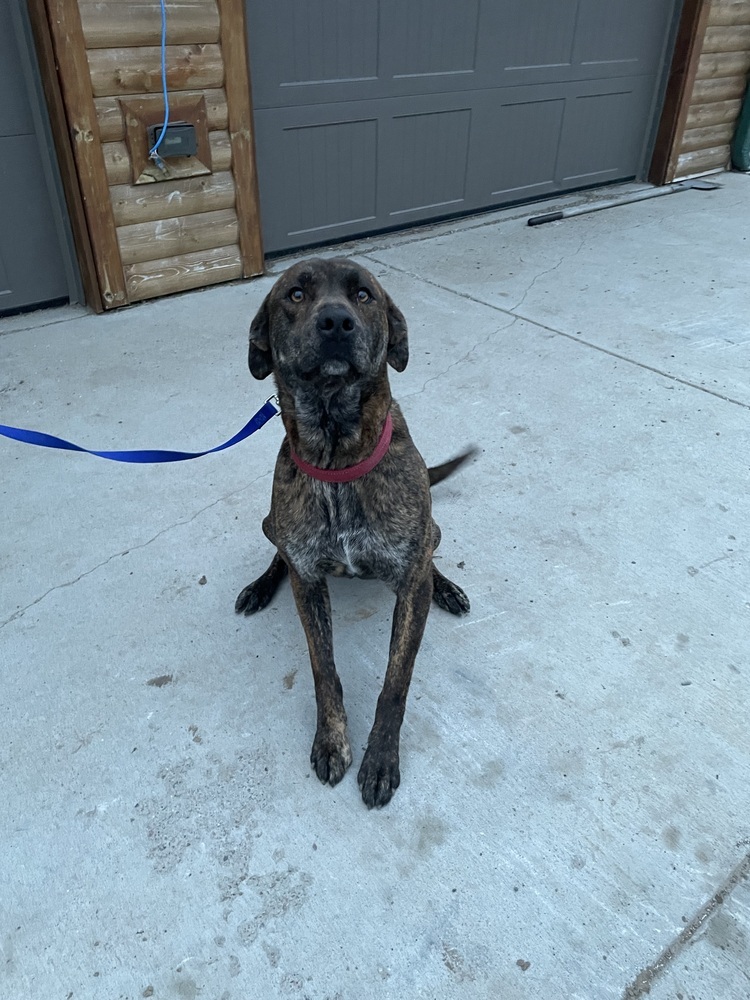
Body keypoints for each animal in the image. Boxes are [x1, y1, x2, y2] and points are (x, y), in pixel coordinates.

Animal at [235, 256, 472, 804]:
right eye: (296, 294)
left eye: (363, 295)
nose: (336, 322)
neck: (337, 457)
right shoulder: (308, 583)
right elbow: (324, 670)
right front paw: (332, 740)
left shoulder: (409, 584)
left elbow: (395, 682)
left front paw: (381, 757)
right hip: (271, 524)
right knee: (278, 552)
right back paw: (259, 587)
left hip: (431, 534)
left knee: (430, 556)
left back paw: (446, 587)